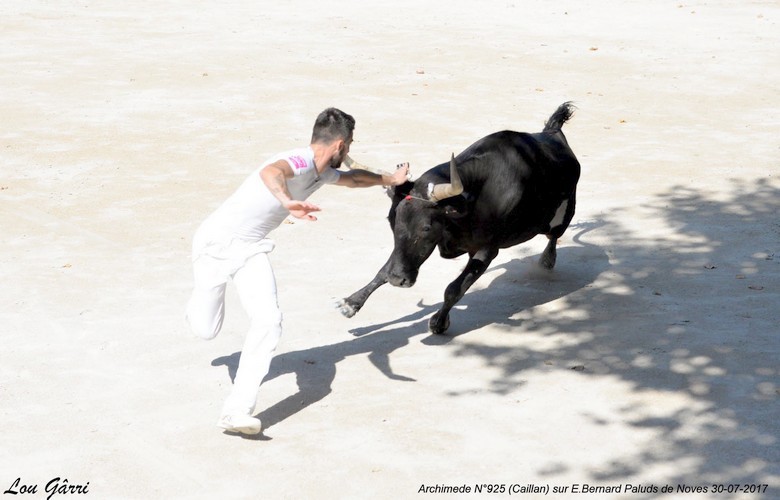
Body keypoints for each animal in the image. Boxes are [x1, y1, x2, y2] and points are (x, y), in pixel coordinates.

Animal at [338, 103, 580, 334]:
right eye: (392, 222)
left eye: (426, 228)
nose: (398, 280)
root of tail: (552, 131)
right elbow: (385, 268)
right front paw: (351, 302)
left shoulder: (487, 250)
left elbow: (454, 289)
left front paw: (438, 322)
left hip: (561, 216)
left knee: (553, 235)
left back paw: (547, 260)